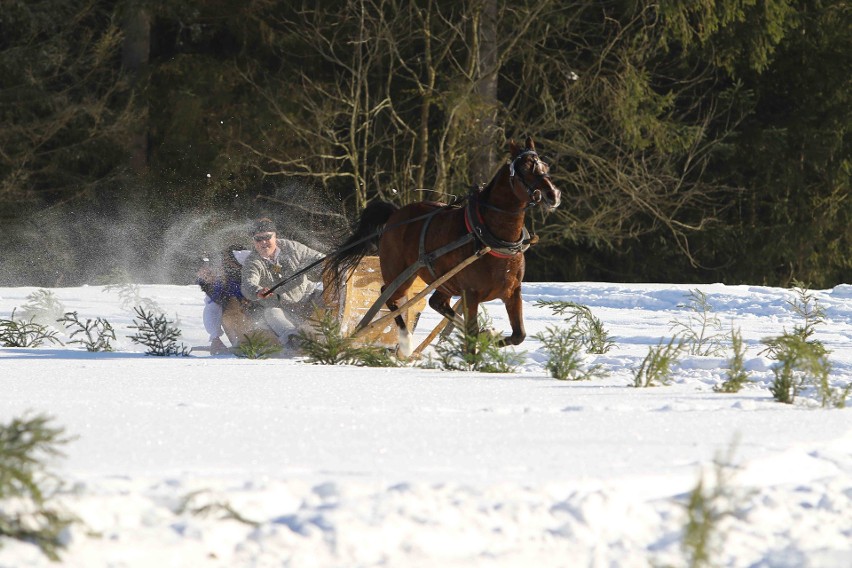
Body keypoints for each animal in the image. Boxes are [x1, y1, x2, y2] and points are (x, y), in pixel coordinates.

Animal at [324, 135, 560, 352]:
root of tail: (394, 215)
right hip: (402, 276)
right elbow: (472, 332)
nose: (553, 194)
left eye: (545, 166)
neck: (491, 238)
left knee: (436, 303)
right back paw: (406, 341)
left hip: (444, 282)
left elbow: (518, 334)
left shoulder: (512, 291)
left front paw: (490, 336)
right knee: (388, 296)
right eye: (525, 168)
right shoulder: (470, 293)